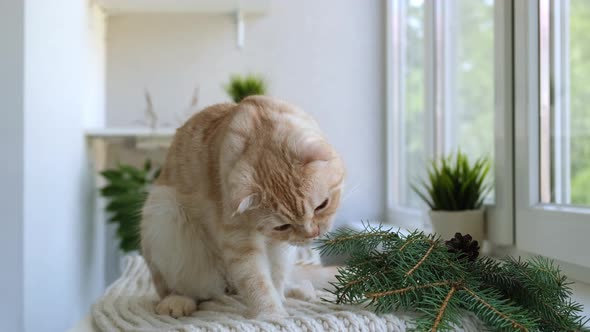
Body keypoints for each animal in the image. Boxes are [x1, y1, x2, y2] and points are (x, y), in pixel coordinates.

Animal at [140, 96, 344, 320]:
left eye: (321, 206)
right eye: (283, 226)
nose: (312, 234)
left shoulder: (280, 247)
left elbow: (277, 274)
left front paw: (279, 298)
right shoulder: (239, 240)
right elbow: (256, 280)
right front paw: (271, 314)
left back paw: (299, 290)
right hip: (165, 214)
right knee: (182, 289)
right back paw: (177, 300)